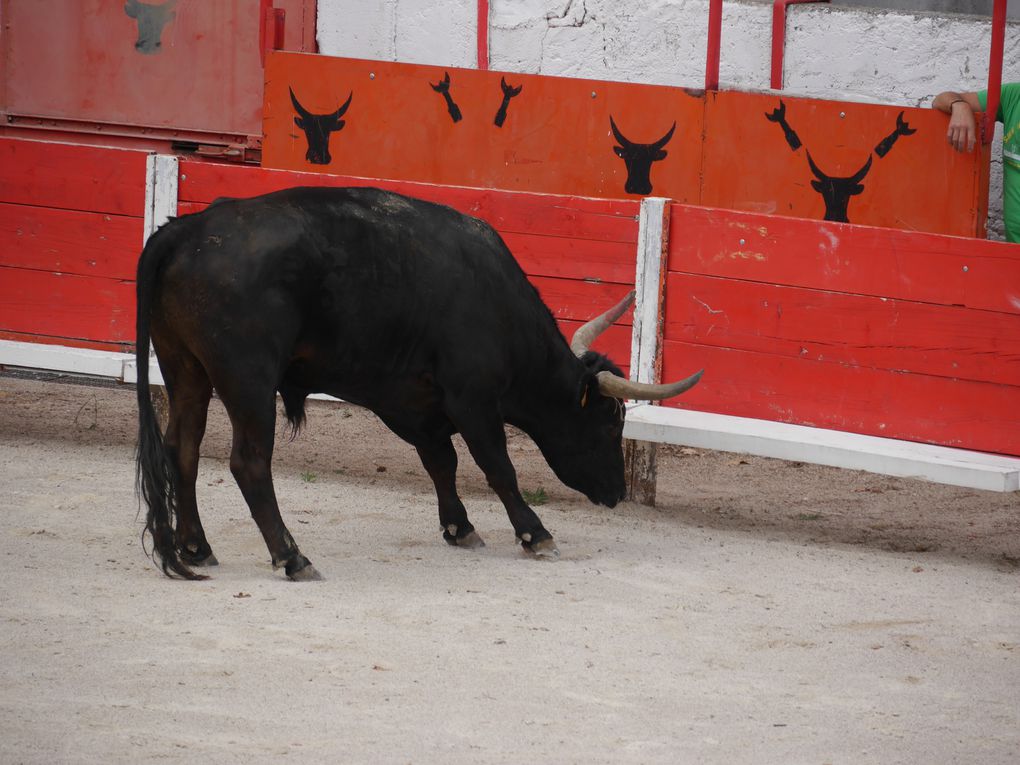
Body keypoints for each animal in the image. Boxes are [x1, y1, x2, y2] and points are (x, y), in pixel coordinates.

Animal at [135, 187, 701, 579]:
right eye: (608, 423)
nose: (617, 492)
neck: (496, 304)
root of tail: (187, 229)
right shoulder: (474, 401)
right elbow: (498, 468)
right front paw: (534, 533)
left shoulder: (417, 406)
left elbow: (441, 463)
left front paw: (459, 527)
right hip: (248, 382)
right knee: (248, 462)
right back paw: (292, 557)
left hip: (186, 368)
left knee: (182, 448)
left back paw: (196, 548)